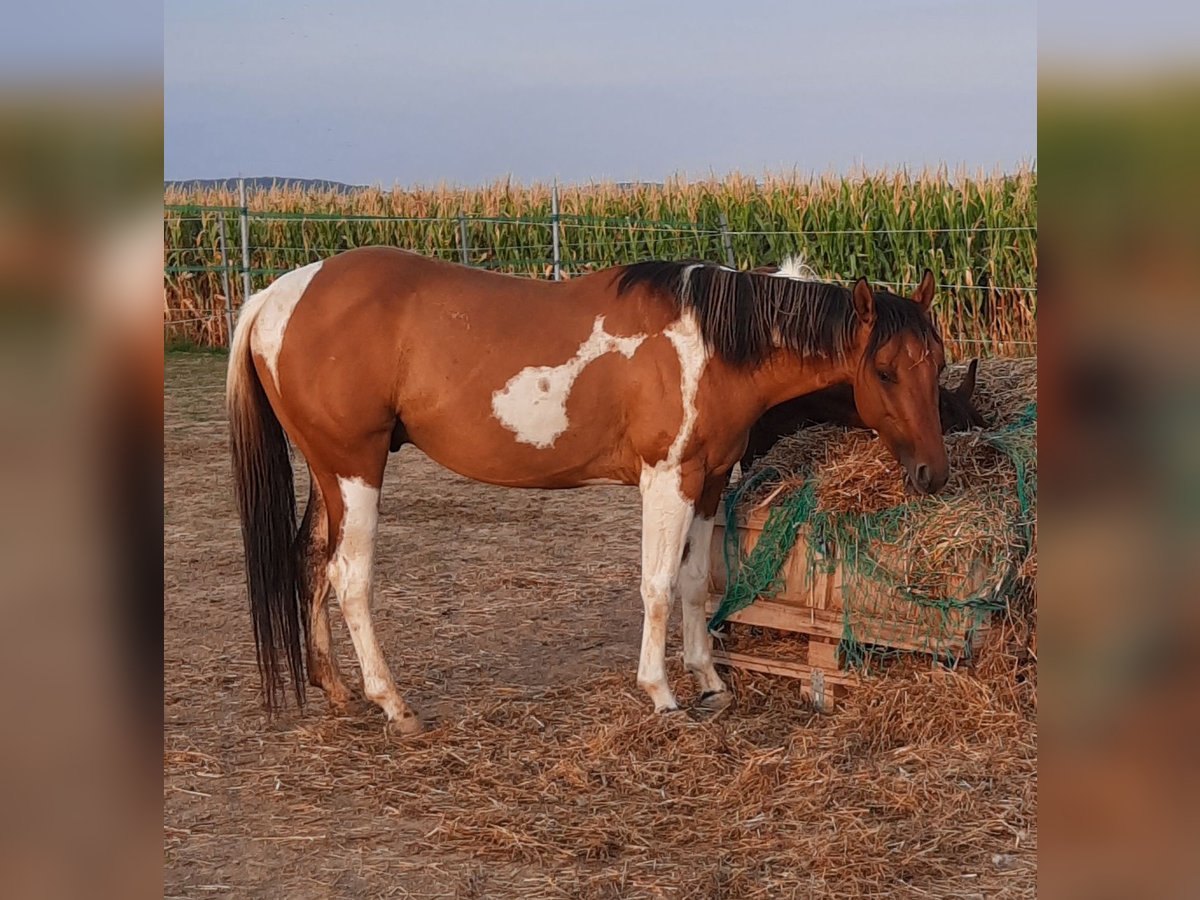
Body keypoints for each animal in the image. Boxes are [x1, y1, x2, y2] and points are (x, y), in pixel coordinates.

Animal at [226, 248, 948, 734]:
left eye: (936, 361)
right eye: (886, 370)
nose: (933, 475)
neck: (711, 344)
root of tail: (277, 296)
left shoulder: (709, 478)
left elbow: (694, 585)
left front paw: (710, 682)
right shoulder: (667, 479)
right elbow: (658, 586)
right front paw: (662, 693)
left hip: (330, 471)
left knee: (310, 562)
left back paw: (337, 690)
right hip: (355, 469)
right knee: (349, 578)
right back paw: (394, 705)